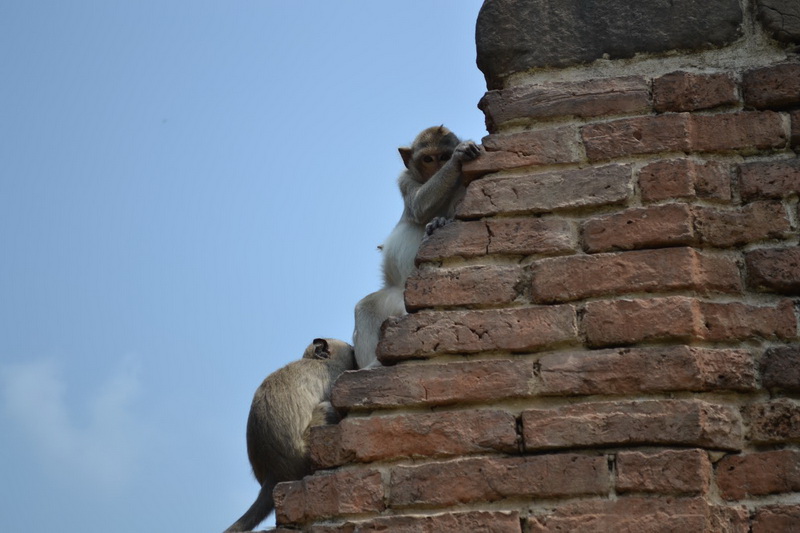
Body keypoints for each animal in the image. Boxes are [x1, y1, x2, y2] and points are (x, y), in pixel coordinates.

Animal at [354, 126, 482, 368]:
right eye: (428, 159)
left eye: (443, 156)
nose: (438, 168)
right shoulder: (404, 179)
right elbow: (418, 205)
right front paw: (459, 157)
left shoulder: (463, 186)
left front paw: (440, 222)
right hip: (394, 299)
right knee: (365, 307)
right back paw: (373, 363)